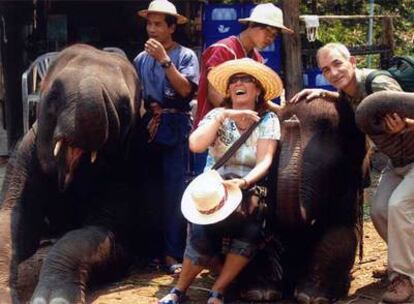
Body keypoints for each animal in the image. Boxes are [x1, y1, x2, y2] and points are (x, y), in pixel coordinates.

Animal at [0, 43, 148, 304]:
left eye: (124, 108)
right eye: (54, 94)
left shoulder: (129, 164)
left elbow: (100, 232)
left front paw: (53, 300)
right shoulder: (24, 152)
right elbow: (14, 219)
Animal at [241, 97, 368, 304]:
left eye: (334, 168)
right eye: (274, 156)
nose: (292, 122)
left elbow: (342, 235)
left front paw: (311, 296)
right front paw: (260, 293)